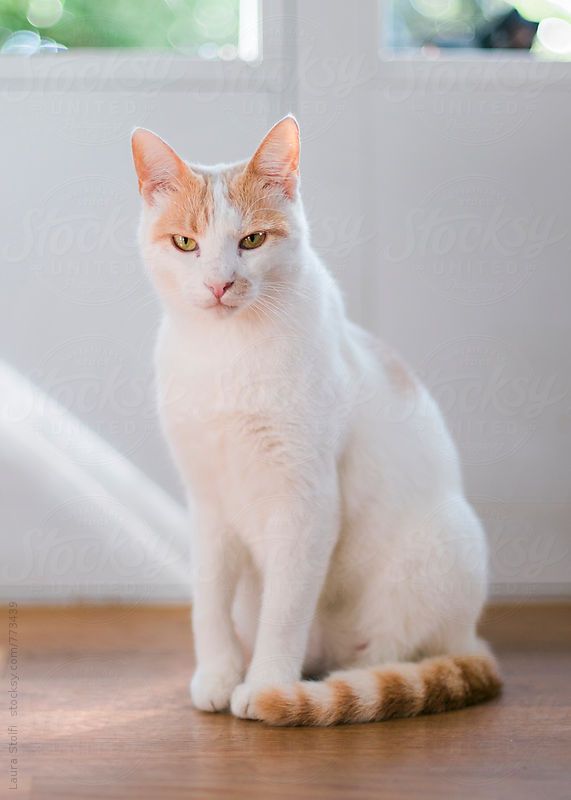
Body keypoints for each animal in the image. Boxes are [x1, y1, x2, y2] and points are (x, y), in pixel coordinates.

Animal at [133, 117, 500, 724]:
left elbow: (284, 611)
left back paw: (329, 686)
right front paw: (218, 674)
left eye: (252, 241)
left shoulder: (306, 502)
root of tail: (471, 637)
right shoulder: (206, 500)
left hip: (441, 546)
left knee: (392, 660)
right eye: (186, 243)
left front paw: (266, 685)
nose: (219, 284)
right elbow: (208, 601)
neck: (225, 355)